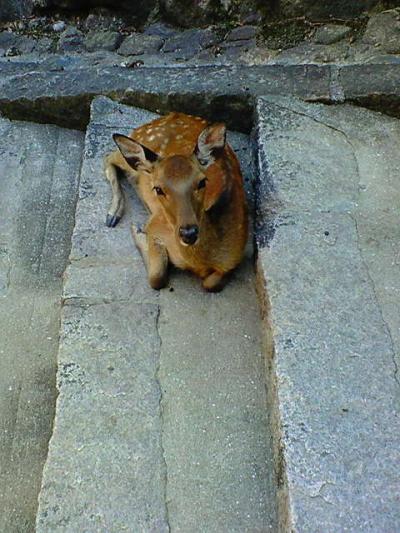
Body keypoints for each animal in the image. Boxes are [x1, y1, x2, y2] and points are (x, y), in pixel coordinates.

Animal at [103, 110, 247, 290]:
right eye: (158, 189)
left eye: (202, 182)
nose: (188, 233)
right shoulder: (156, 226)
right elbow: (156, 277)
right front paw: (137, 231)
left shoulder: (236, 256)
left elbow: (210, 283)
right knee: (108, 157)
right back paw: (113, 215)